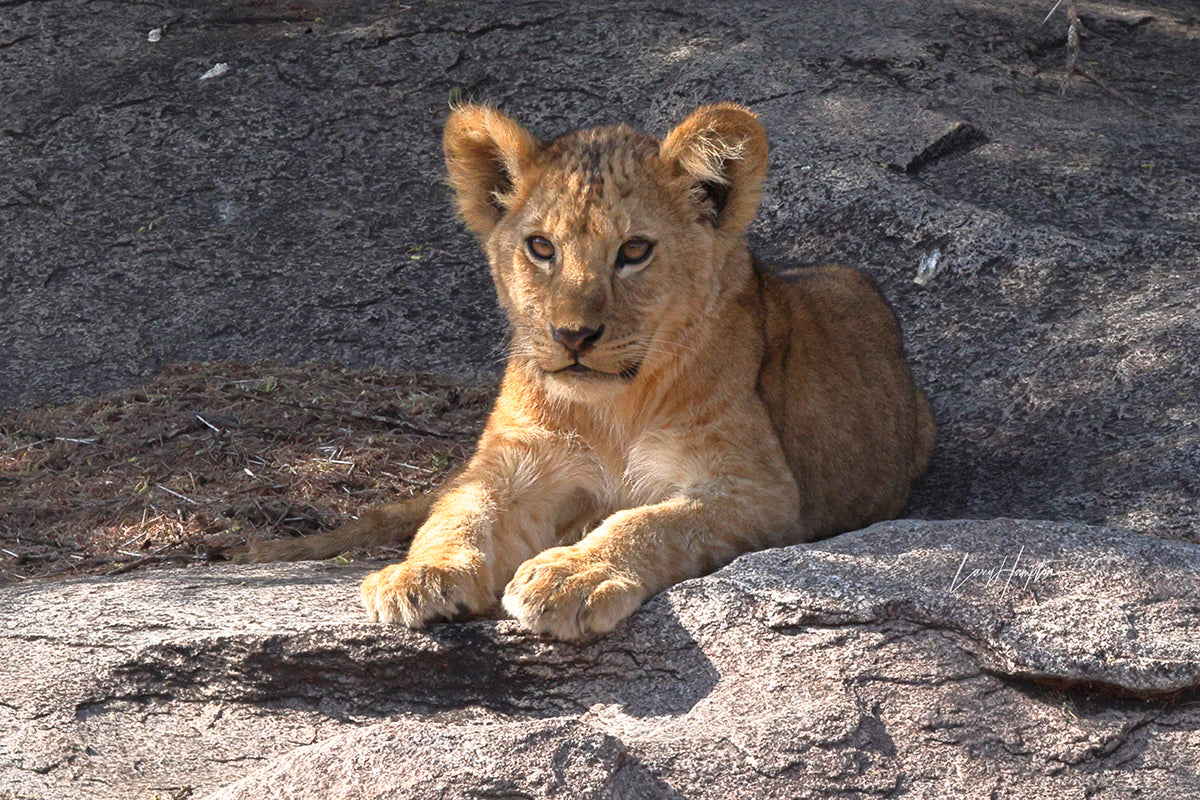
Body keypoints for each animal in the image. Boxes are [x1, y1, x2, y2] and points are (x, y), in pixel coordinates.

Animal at [250, 103, 936, 640]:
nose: (572, 336)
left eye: (634, 250)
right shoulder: (512, 465)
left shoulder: (762, 491)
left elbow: (652, 522)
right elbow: (459, 511)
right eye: (541, 248)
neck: (610, 409)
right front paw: (420, 573)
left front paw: (571, 575)